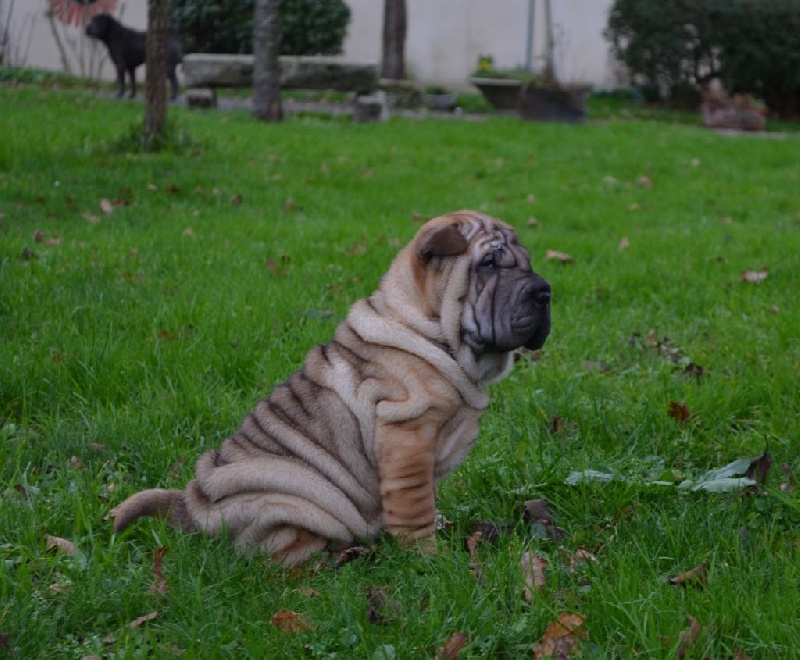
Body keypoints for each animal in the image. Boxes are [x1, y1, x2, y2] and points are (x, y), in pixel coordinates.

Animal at [111, 211, 552, 565]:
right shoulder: (406, 434)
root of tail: (193, 504)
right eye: (490, 264)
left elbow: (425, 497)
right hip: (293, 497)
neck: (428, 331)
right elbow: (413, 505)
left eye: (527, 262)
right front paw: (429, 558)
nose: (545, 291)